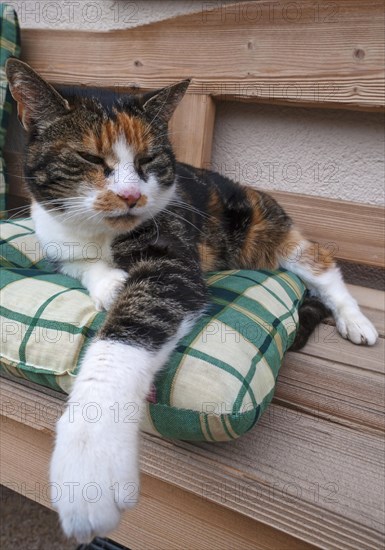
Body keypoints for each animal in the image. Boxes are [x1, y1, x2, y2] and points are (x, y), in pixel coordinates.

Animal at [6, 59, 378, 544]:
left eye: (148, 160)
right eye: (89, 158)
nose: (131, 196)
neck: (101, 233)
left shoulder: (175, 258)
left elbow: (130, 331)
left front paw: (89, 463)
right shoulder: (55, 241)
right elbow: (80, 263)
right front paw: (110, 284)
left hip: (263, 227)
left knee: (320, 263)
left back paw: (355, 320)